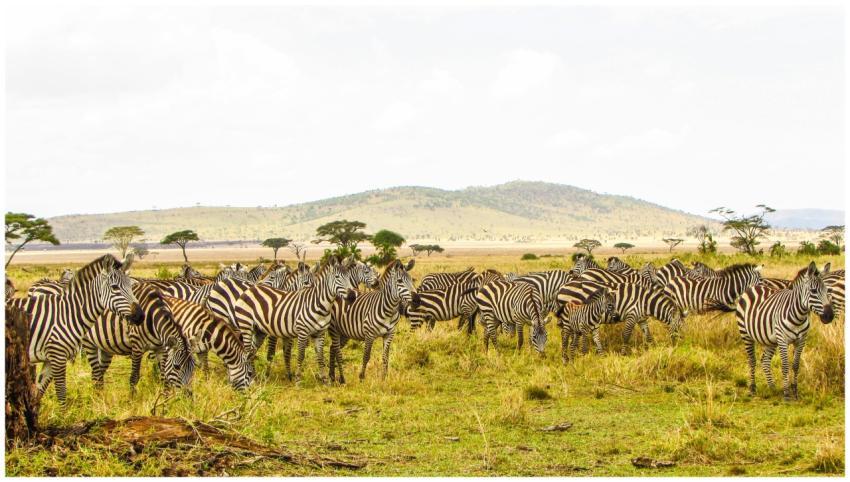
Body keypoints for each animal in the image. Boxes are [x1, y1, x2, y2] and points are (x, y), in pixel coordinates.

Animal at [12, 254, 143, 406]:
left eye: (131, 286)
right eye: (114, 287)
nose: (140, 315)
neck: (67, 313)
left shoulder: (50, 358)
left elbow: (39, 392)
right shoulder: (57, 356)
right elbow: (61, 393)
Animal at [736, 262, 834, 400]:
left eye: (827, 291)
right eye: (813, 291)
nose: (830, 316)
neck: (799, 316)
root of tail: (754, 286)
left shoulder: (801, 340)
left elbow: (796, 365)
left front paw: (795, 391)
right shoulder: (783, 340)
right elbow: (785, 365)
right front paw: (787, 393)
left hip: (770, 339)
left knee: (765, 360)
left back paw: (772, 388)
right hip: (745, 333)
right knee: (752, 360)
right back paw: (752, 388)